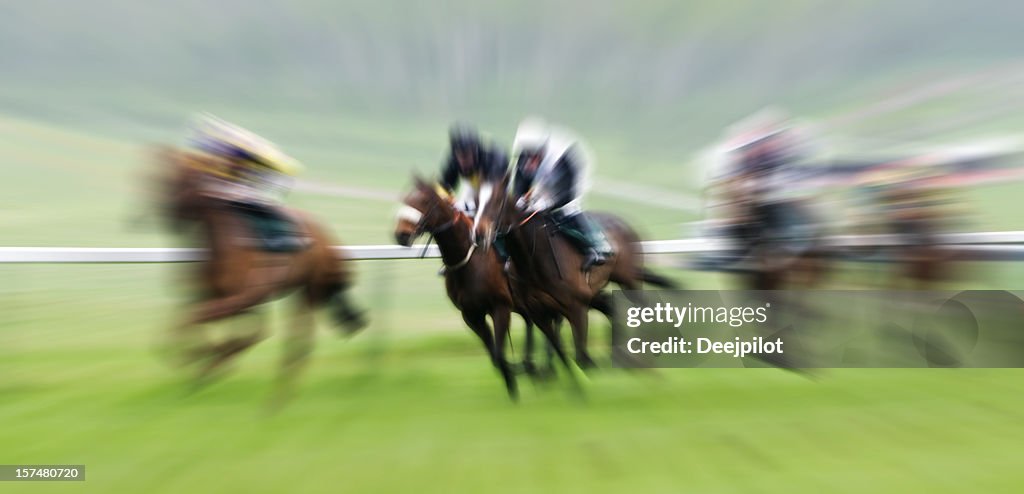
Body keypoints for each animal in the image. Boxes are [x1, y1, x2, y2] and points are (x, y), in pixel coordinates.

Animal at [148, 144, 364, 391]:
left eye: (177, 178)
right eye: (151, 178)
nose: (168, 215)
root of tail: (328, 237)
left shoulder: (242, 297)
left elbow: (196, 319)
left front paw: (198, 358)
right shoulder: (216, 296)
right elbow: (194, 318)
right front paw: (203, 360)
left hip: (311, 289)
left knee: (299, 338)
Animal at [391, 175, 573, 399]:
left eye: (424, 201)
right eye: (406, 198)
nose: (401, 234)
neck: (469, 261)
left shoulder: (500, 307)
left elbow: (499, 352)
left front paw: (515, 382)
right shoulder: (471, 315)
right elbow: (495, 356)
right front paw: (512, 379)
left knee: (554, 322)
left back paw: (548, 369)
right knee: (535, 323)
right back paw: (535, 368)